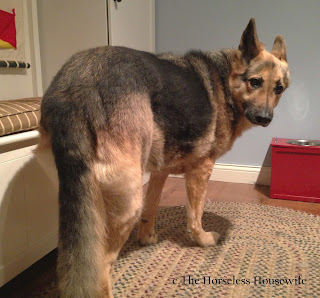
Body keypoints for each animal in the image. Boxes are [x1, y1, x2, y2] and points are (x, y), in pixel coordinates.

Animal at [35, 19, 290, 298]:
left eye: (278, 89)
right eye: (255, 82)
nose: (265, 118)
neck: (226, 81)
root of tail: (75, 85)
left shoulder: (159, 171)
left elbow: (152, 206)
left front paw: (147, 238)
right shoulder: (201, 170)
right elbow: (195, 216)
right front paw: (203, 240)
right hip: (128, 200)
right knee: (100, 270)